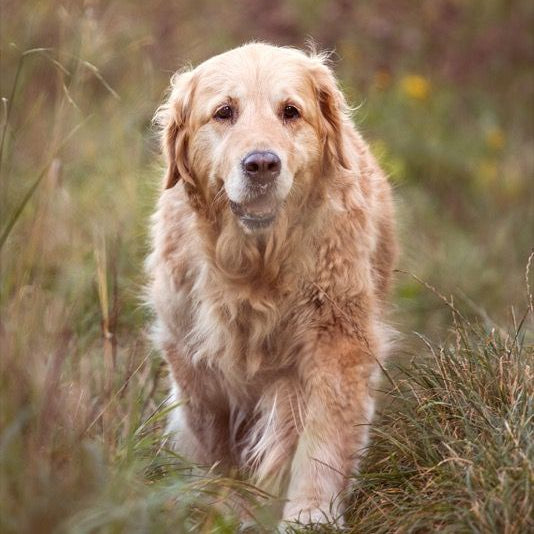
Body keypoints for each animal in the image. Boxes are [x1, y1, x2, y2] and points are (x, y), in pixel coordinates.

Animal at [147, 43, 398, 528]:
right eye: (224, 112)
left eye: (290, 112)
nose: (261, 163)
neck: (256, 265)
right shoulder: (190, 355)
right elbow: (217, 448)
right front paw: (226, 509)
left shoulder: (337, 342)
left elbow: (322, 442)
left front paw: (311, 514)